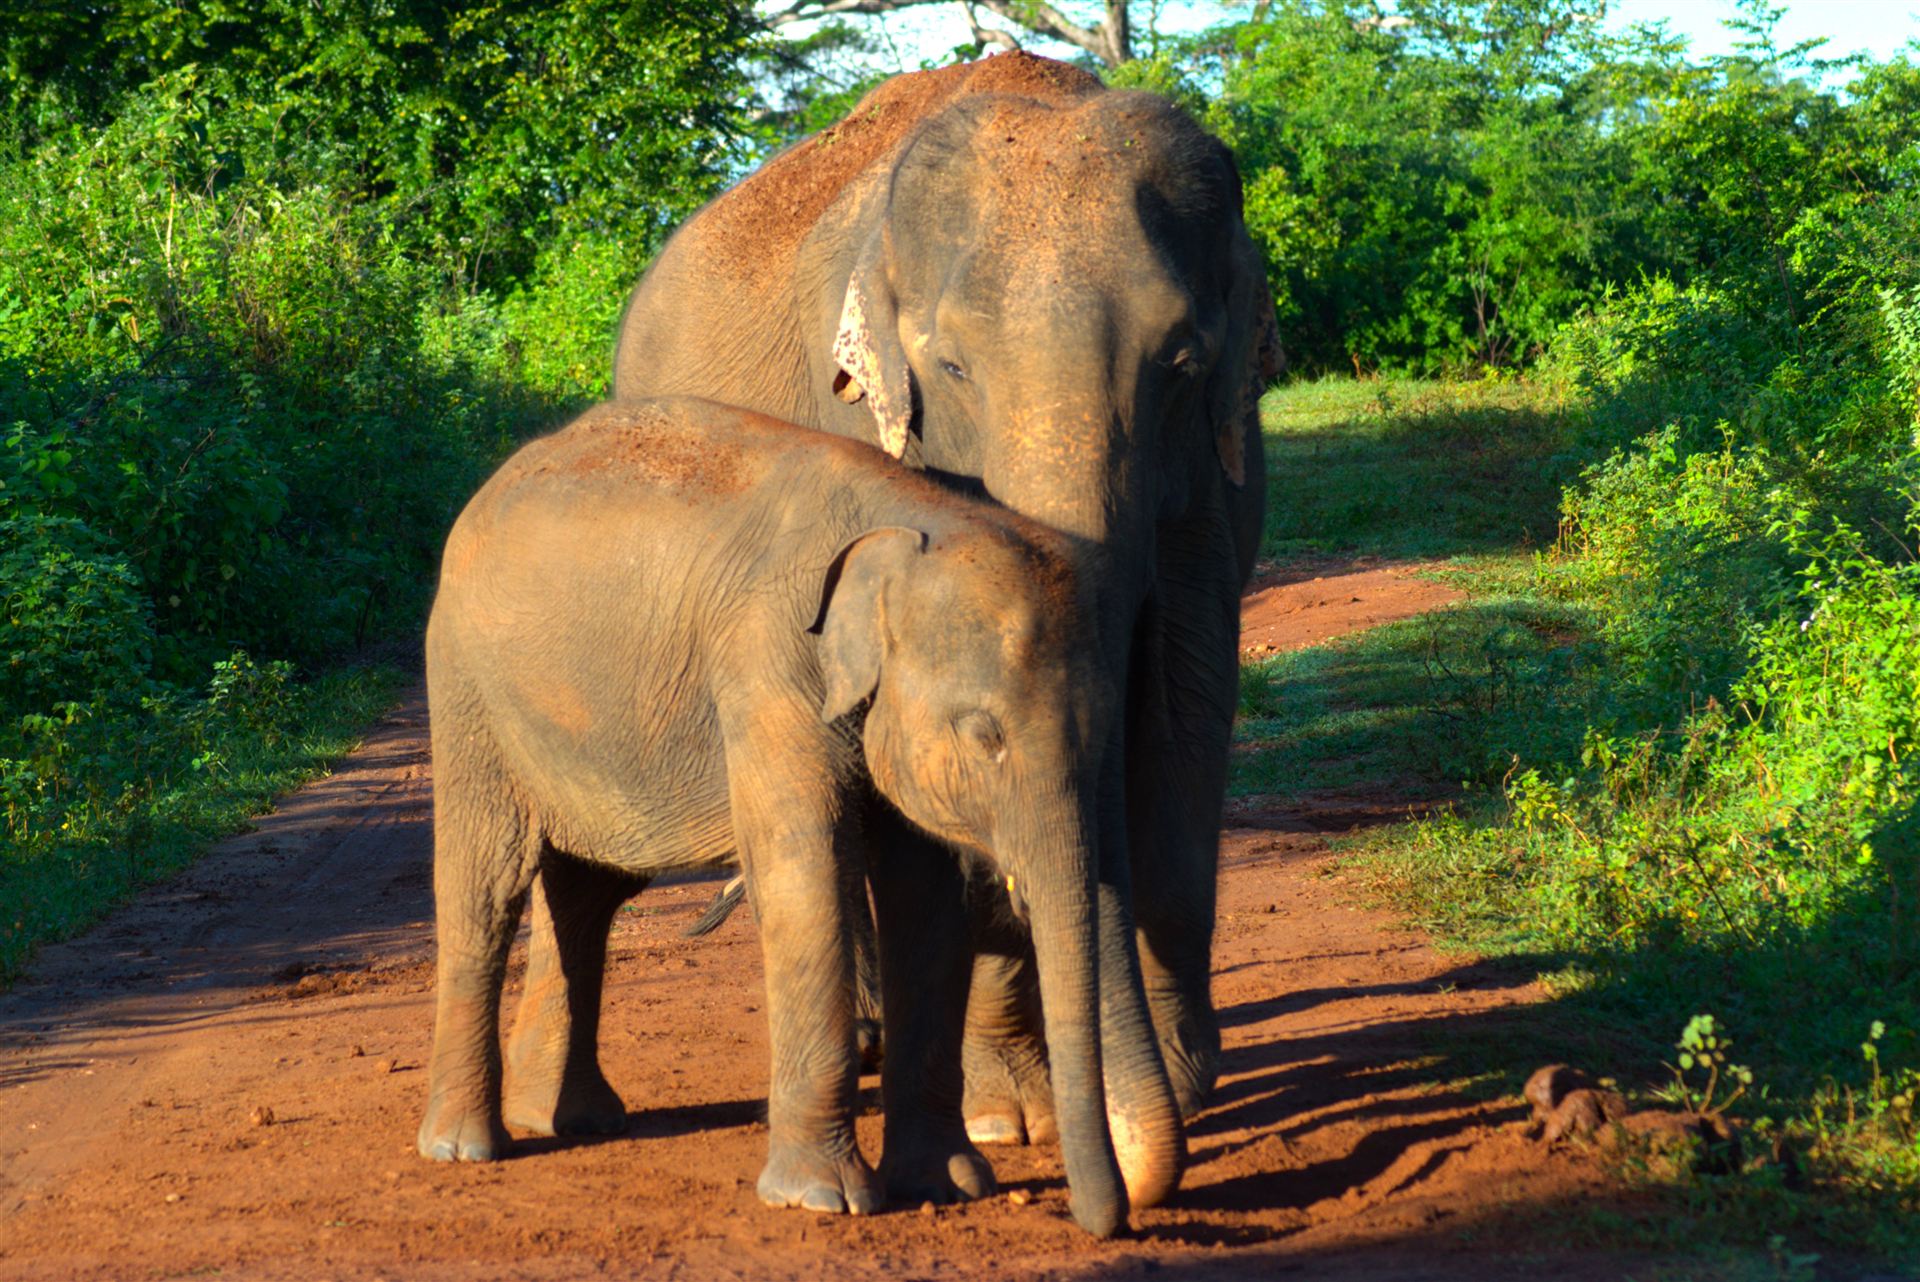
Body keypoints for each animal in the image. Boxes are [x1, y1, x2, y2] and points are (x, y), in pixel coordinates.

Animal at [416, 396, 1153, 1237]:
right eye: (983, 733)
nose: (1109, 1220)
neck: (914, 522)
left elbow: (927, 902)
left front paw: (950, 1183)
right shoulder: (768, 663)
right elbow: (809, 879)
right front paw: (822, 1200)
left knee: (587, 895)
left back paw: (575, 1120)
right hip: (468, 691)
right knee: (487, 888)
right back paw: (464, 1147)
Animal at [506, 51, 1279, 1189]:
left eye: (1180, 360)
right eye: (951, 367)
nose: (1132, 1148)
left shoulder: (1215, 464)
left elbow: (1186, 696)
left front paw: (1180, 1088)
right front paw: (1011, 1115)